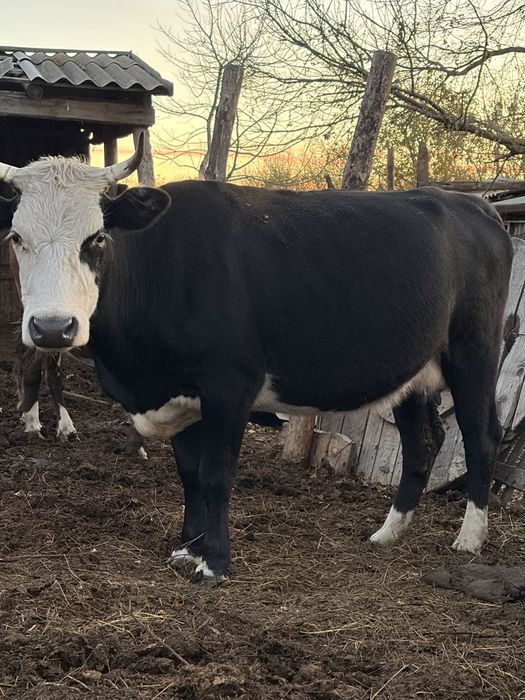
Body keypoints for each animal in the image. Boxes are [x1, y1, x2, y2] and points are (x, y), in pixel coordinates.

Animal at [0, 136, 513, 585]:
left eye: (98, 238)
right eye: (17, 237)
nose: (52, 328)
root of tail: (475, 206)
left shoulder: (231, 386)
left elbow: (215, 473)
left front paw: (215, 563)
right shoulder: (180, 393)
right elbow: (189, 472)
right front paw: (189, 547)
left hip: (474, 353)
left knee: (481, 436)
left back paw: (470, 538)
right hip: (412, 371)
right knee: (422, 442)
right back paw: (388, 532)